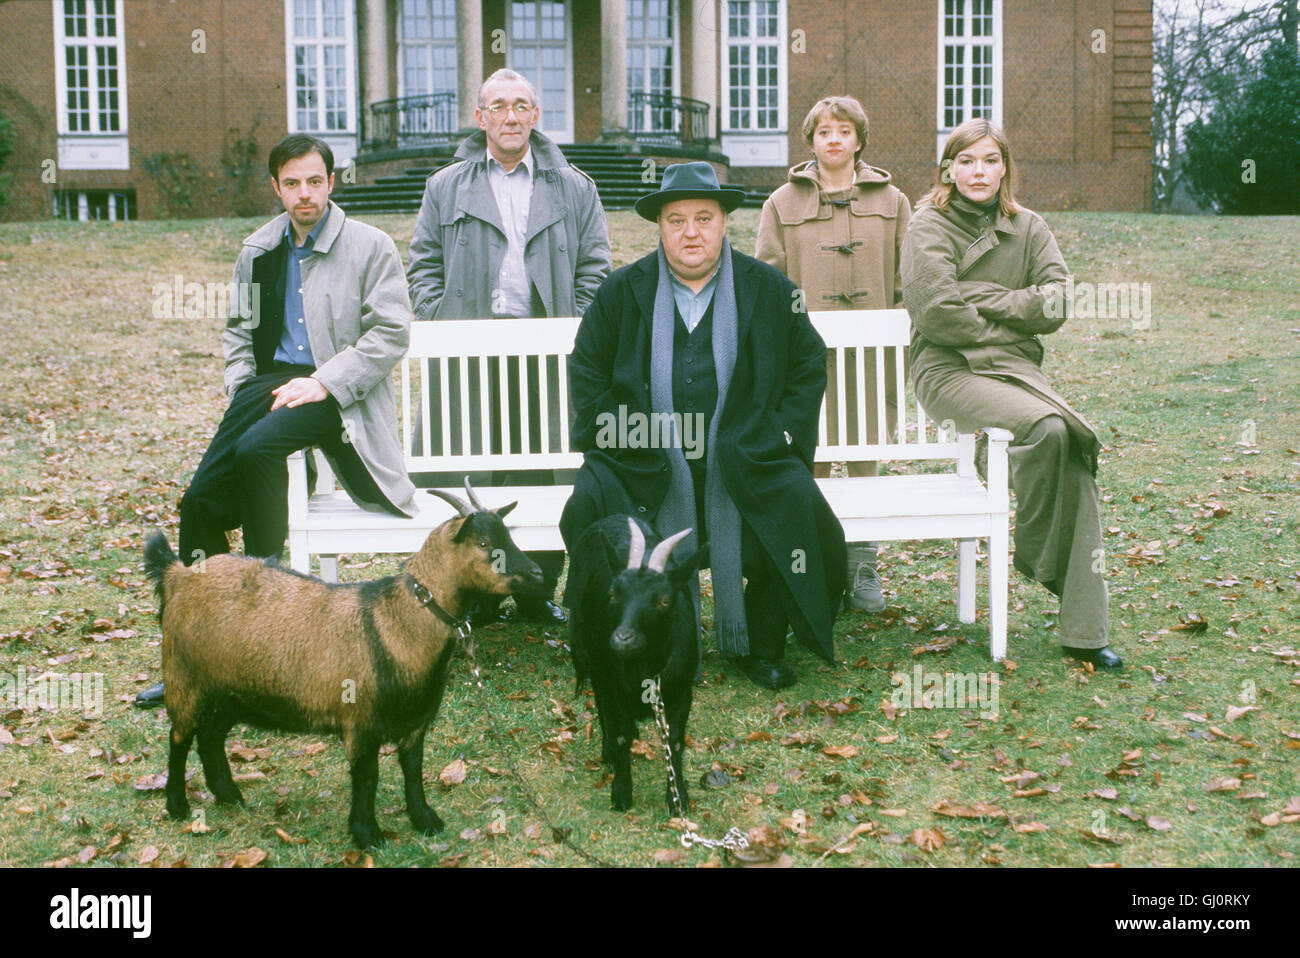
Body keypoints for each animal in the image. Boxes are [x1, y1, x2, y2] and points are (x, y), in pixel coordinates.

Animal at [146, 480, 543, 847]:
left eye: (508, 535)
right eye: (484, 543)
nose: (537, 575)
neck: (393, 621)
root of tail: (177, 575)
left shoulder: (417, 718)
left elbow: (413, 768)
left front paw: (424, 819)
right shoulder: (360, 721)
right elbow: (367, 776)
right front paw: (368, 833)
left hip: (228, 690)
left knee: (210, 738)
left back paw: (230, 796)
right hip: (183, 679)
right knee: (179, 738)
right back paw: (177, 804)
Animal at [564, 514, 702, 816]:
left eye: (665, 600)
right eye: (614, 593)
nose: (622, 639)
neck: (646, 669)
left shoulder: (682, 692)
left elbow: (675, 740)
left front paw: (678, 797)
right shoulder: (614, 685)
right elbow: (620, 736)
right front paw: (621, 792)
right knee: (602, 705)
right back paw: (608, 752)